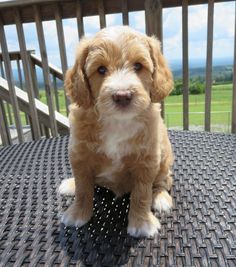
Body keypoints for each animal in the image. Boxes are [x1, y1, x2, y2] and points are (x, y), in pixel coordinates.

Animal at [59, 25, 173, 239]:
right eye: (101, 69)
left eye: (138, 66)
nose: (122, 95)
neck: (117, 122)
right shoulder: (79, 155)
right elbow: (83, 188)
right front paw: (77, 213)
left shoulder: (147, 160)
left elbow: (142, 193)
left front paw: (142, 223)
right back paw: (70, 184)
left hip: (164, 160)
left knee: (163, 181)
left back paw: (161, 197)